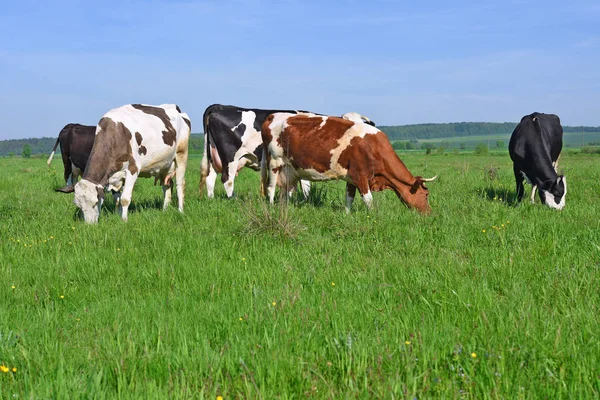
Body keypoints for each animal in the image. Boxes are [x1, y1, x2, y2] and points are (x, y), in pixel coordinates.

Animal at [200, 104, 376, 198]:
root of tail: (221, 106)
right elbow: (305, 186)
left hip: (214, 156)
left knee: (210, 178)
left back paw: (211, 199)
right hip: (230, 157)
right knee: (227, 179)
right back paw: (232, 199)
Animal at [262, 112, 436, 212]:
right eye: (426, 194)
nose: (429, 212)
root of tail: (273, 115)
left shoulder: (351, 178)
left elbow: (349, 198)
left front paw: (347, 215)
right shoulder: (360, 176)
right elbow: (368, 200)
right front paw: (374, 217)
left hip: (290, 170)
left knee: (285, 192)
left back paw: (285, 209)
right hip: (274, 162)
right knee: (270, 188)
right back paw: (271, 209)